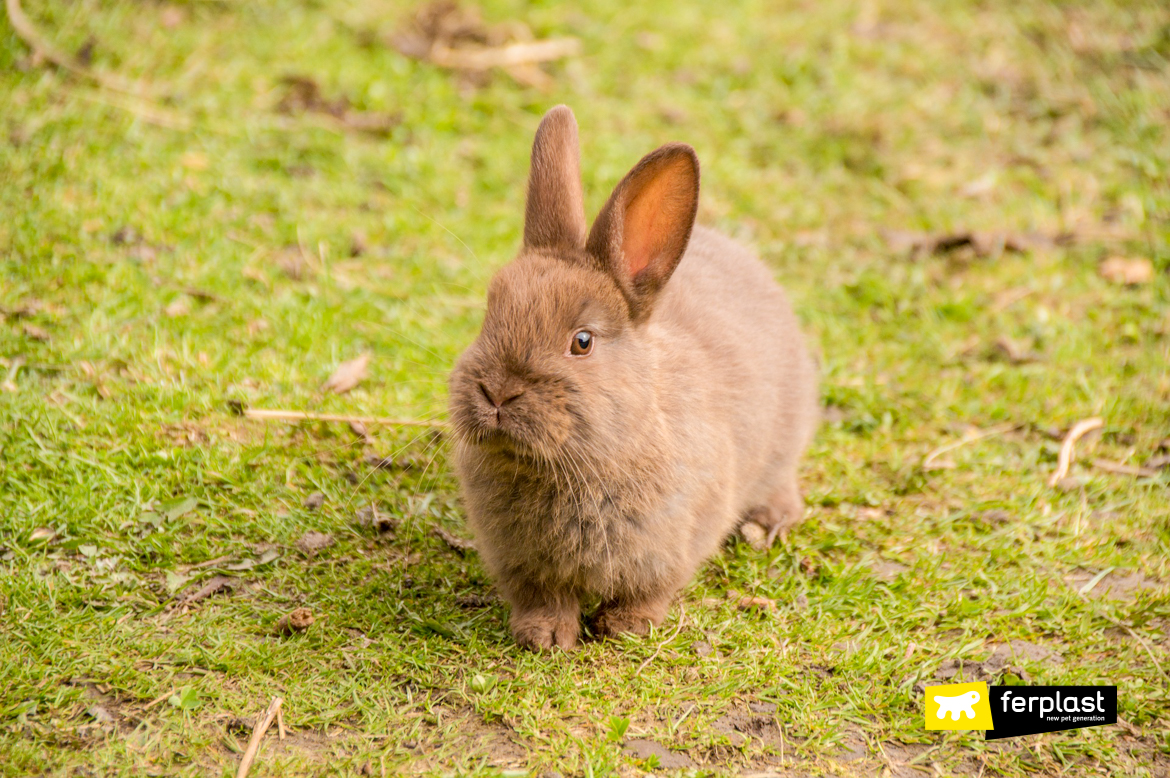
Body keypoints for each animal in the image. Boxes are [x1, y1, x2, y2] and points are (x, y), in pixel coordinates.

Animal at [446, 102, 823, 650]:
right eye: (488, 315)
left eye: (582, 341)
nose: (496, 392)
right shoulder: (523, 568)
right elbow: (542, 598)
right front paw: (544, 637)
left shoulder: (673, 546)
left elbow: (650, 592)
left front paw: (624, 627)